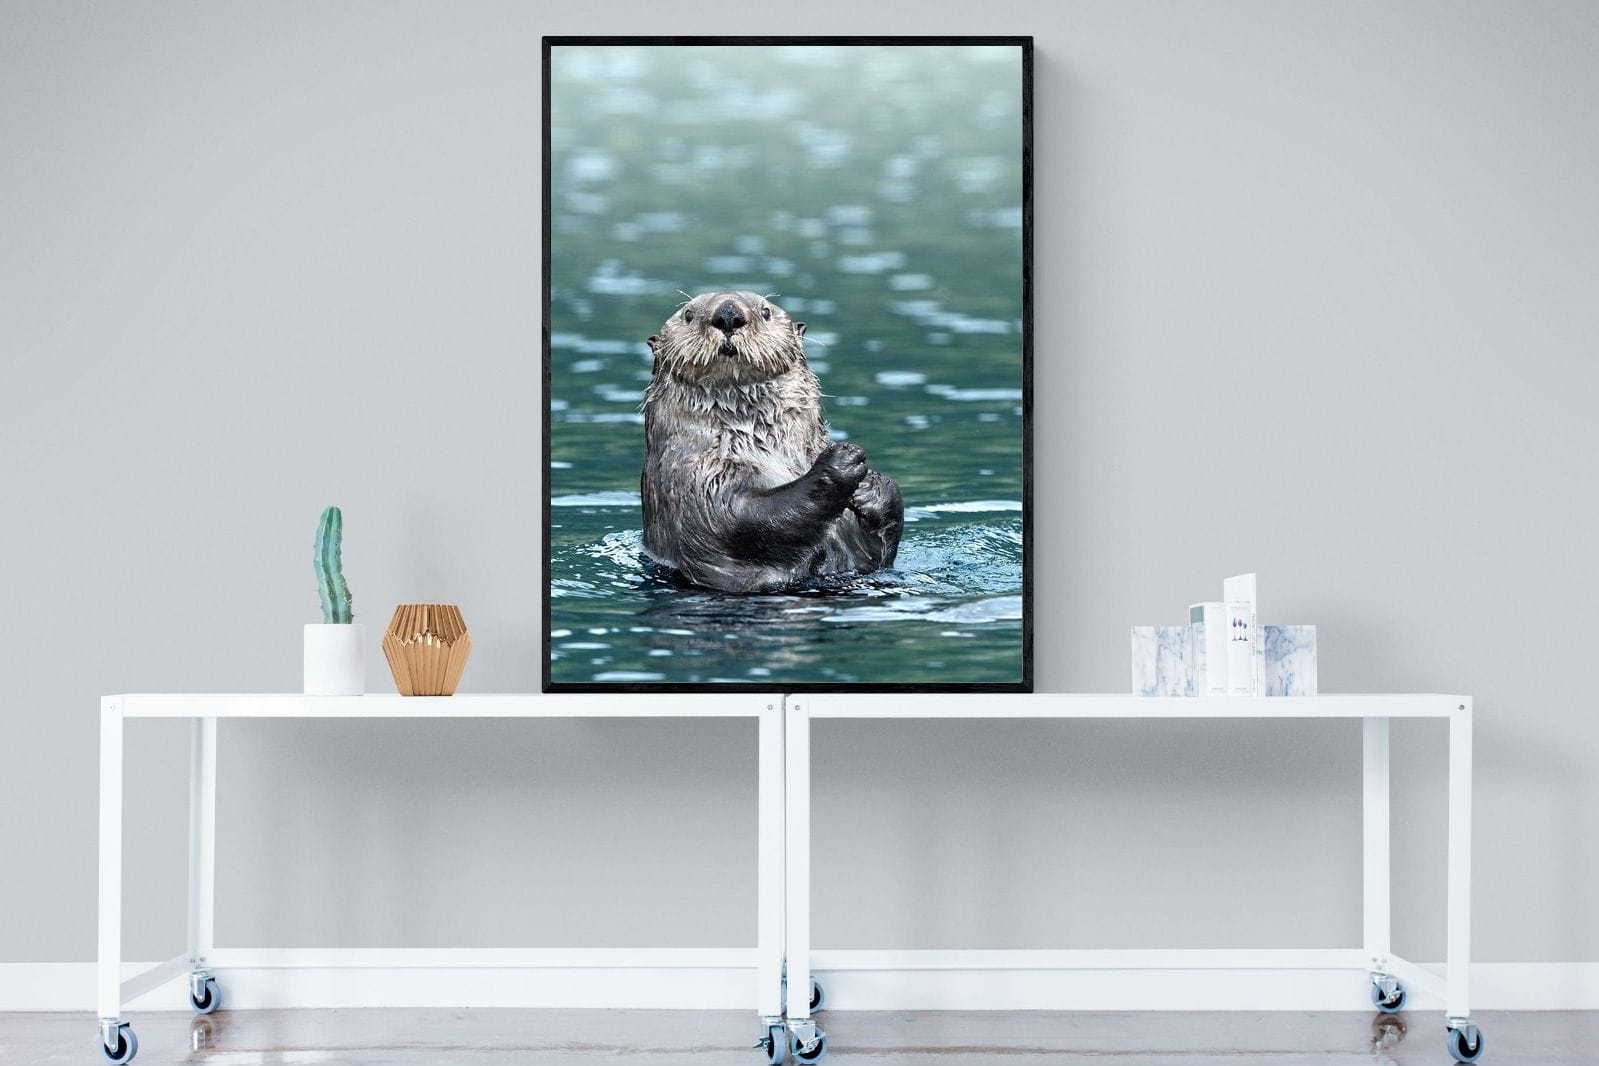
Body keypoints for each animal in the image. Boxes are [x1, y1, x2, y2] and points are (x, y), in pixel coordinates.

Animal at [640, 290, 904, 593]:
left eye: (765, 311)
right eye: (688, 314)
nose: (728, 314)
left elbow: (880, 551)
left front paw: (871, 485)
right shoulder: (695, 479)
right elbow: (740, 517)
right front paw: (842, 460)